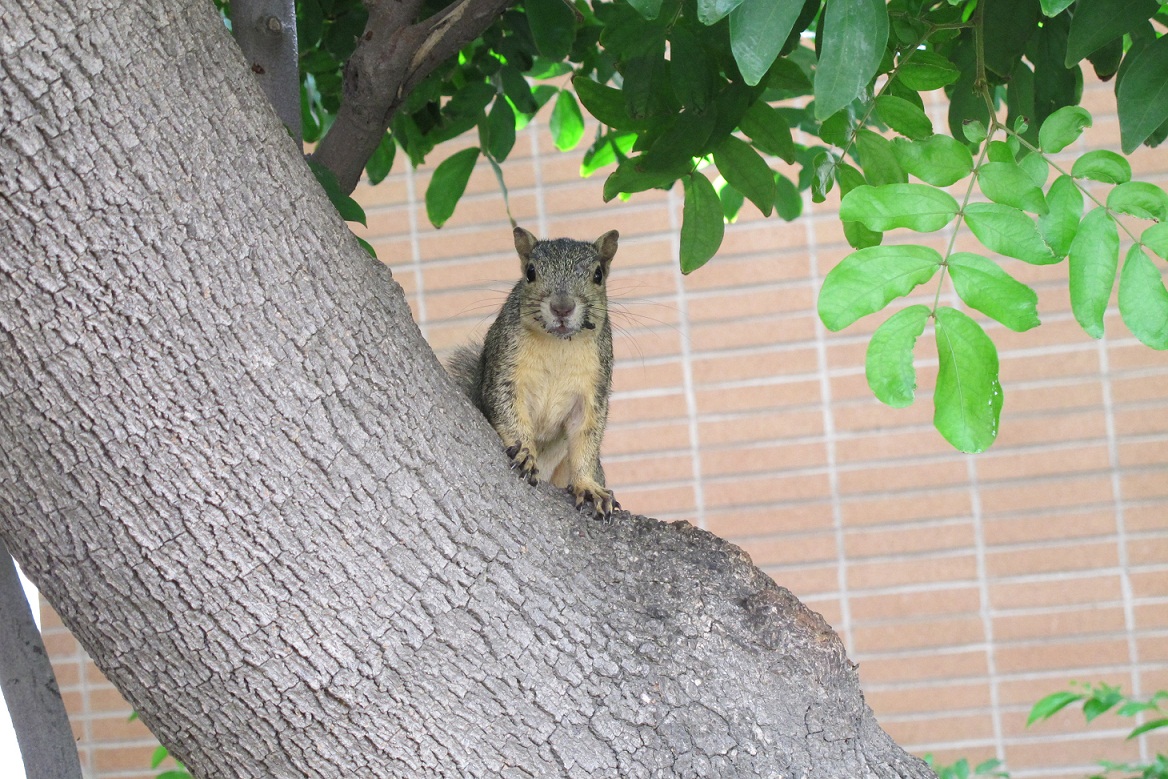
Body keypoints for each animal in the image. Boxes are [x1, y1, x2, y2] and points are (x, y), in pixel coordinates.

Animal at [448, 224, 621, 518]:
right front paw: (525, 453)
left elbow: (586, 436)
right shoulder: (505, 373)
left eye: (598, 275)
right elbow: (508, 412)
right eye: (530, 272)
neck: (559, 345)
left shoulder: (594, 387)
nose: (562, 307)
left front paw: (588, 486)